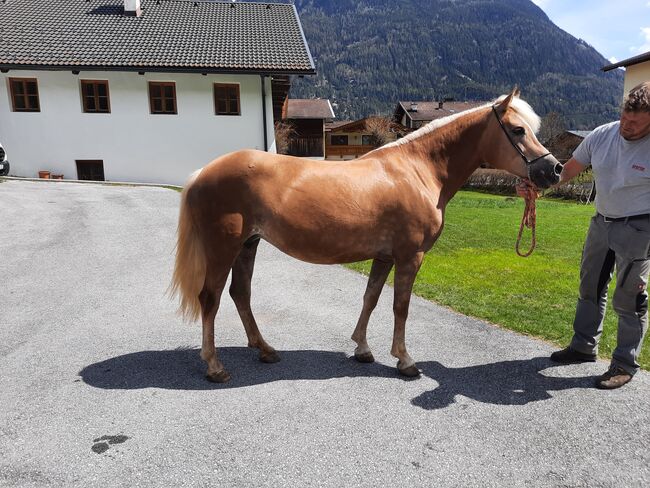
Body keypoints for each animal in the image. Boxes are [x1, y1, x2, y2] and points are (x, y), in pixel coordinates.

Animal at [170, 89, 560, 384]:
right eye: (518, 130)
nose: (553, 169)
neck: (418, 170)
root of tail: (203, 172)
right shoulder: (410, 256)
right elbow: (400, 306)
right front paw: (405, 361)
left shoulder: (384, 256)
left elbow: (370, 298)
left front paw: (362, 349)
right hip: (223, 248)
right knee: (210, 299)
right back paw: (215, 367)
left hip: (247, 246)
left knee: (241, 294)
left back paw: (265, 350)